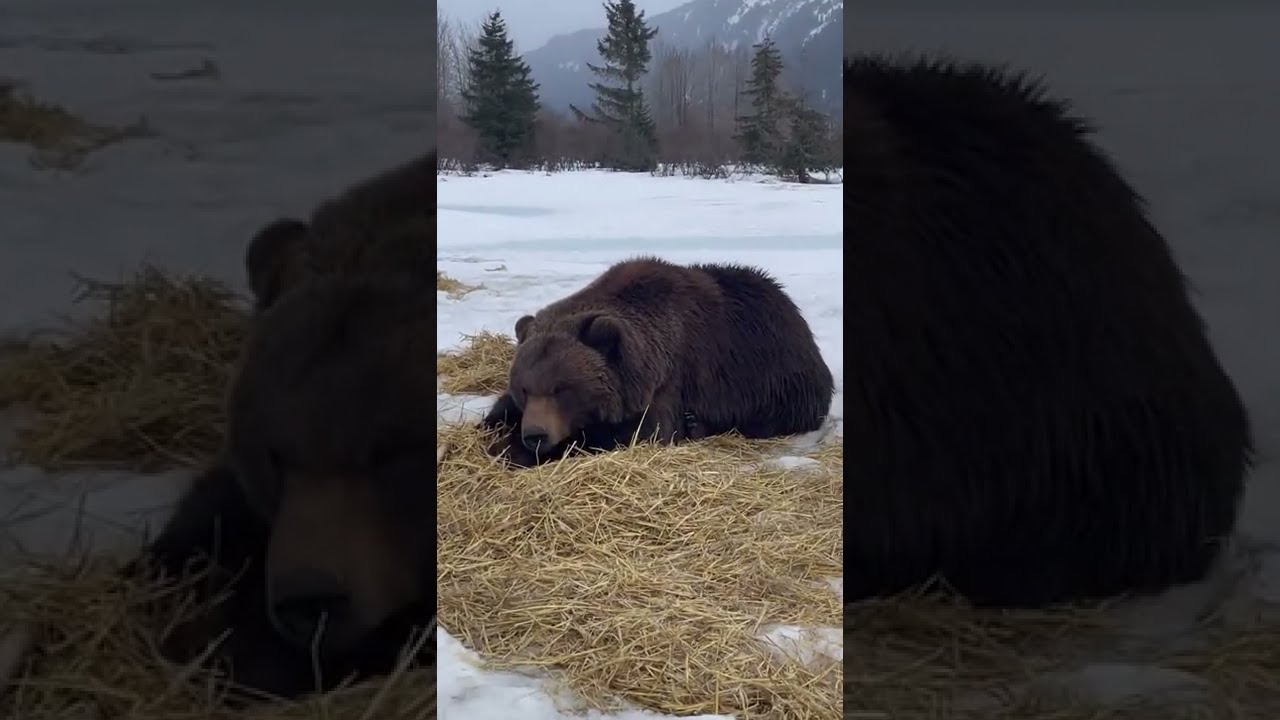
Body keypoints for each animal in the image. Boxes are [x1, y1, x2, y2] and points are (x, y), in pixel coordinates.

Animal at [480, 257, 835, 468]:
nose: (535, 435)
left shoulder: (670, 383)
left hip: (778, 375)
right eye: (524, 389)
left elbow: (632, 435)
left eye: (562, 388)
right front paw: (499, 428)